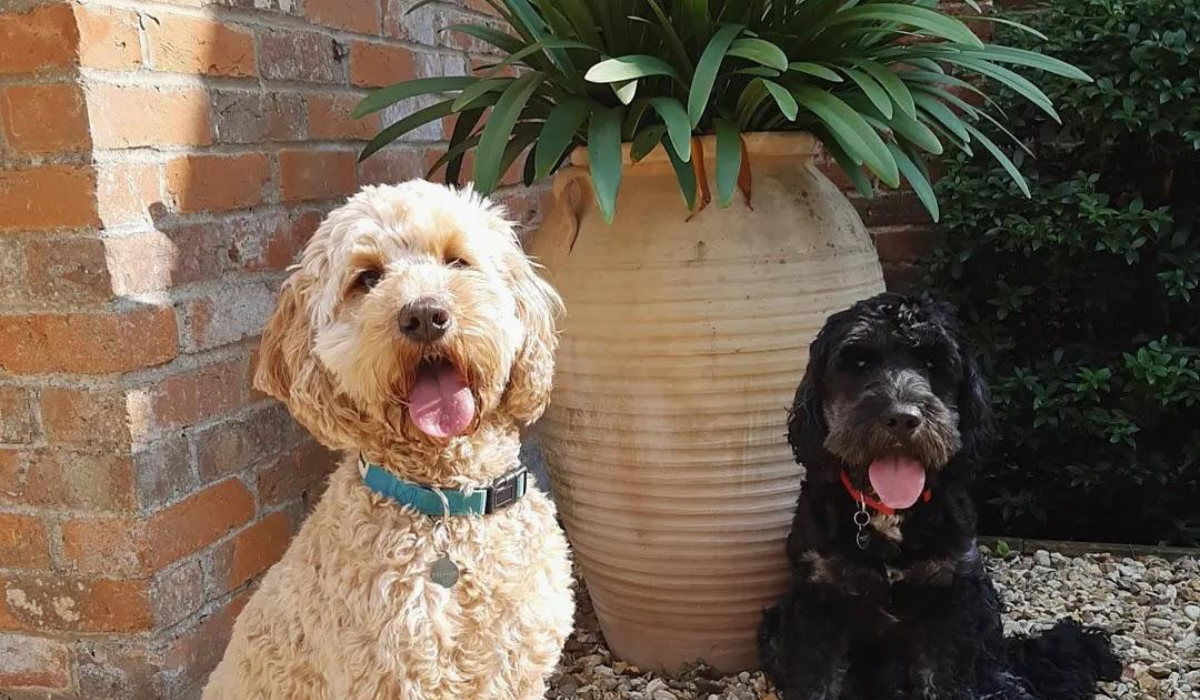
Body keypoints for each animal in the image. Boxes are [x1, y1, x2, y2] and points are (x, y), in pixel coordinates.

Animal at [202, 182, 576, 700]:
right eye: (367, 278)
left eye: (456, 260)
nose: (425, 316)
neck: (447, 505)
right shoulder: (394, 678)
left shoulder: (521, 670)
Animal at [758, 294, 1123, 700]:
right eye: (859, 362)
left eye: (935, 364)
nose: (903, 418)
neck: (891, 513)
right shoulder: (819, 599)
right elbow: (818, 680)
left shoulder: (950, 598)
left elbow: (946, 678)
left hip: (984, 606)